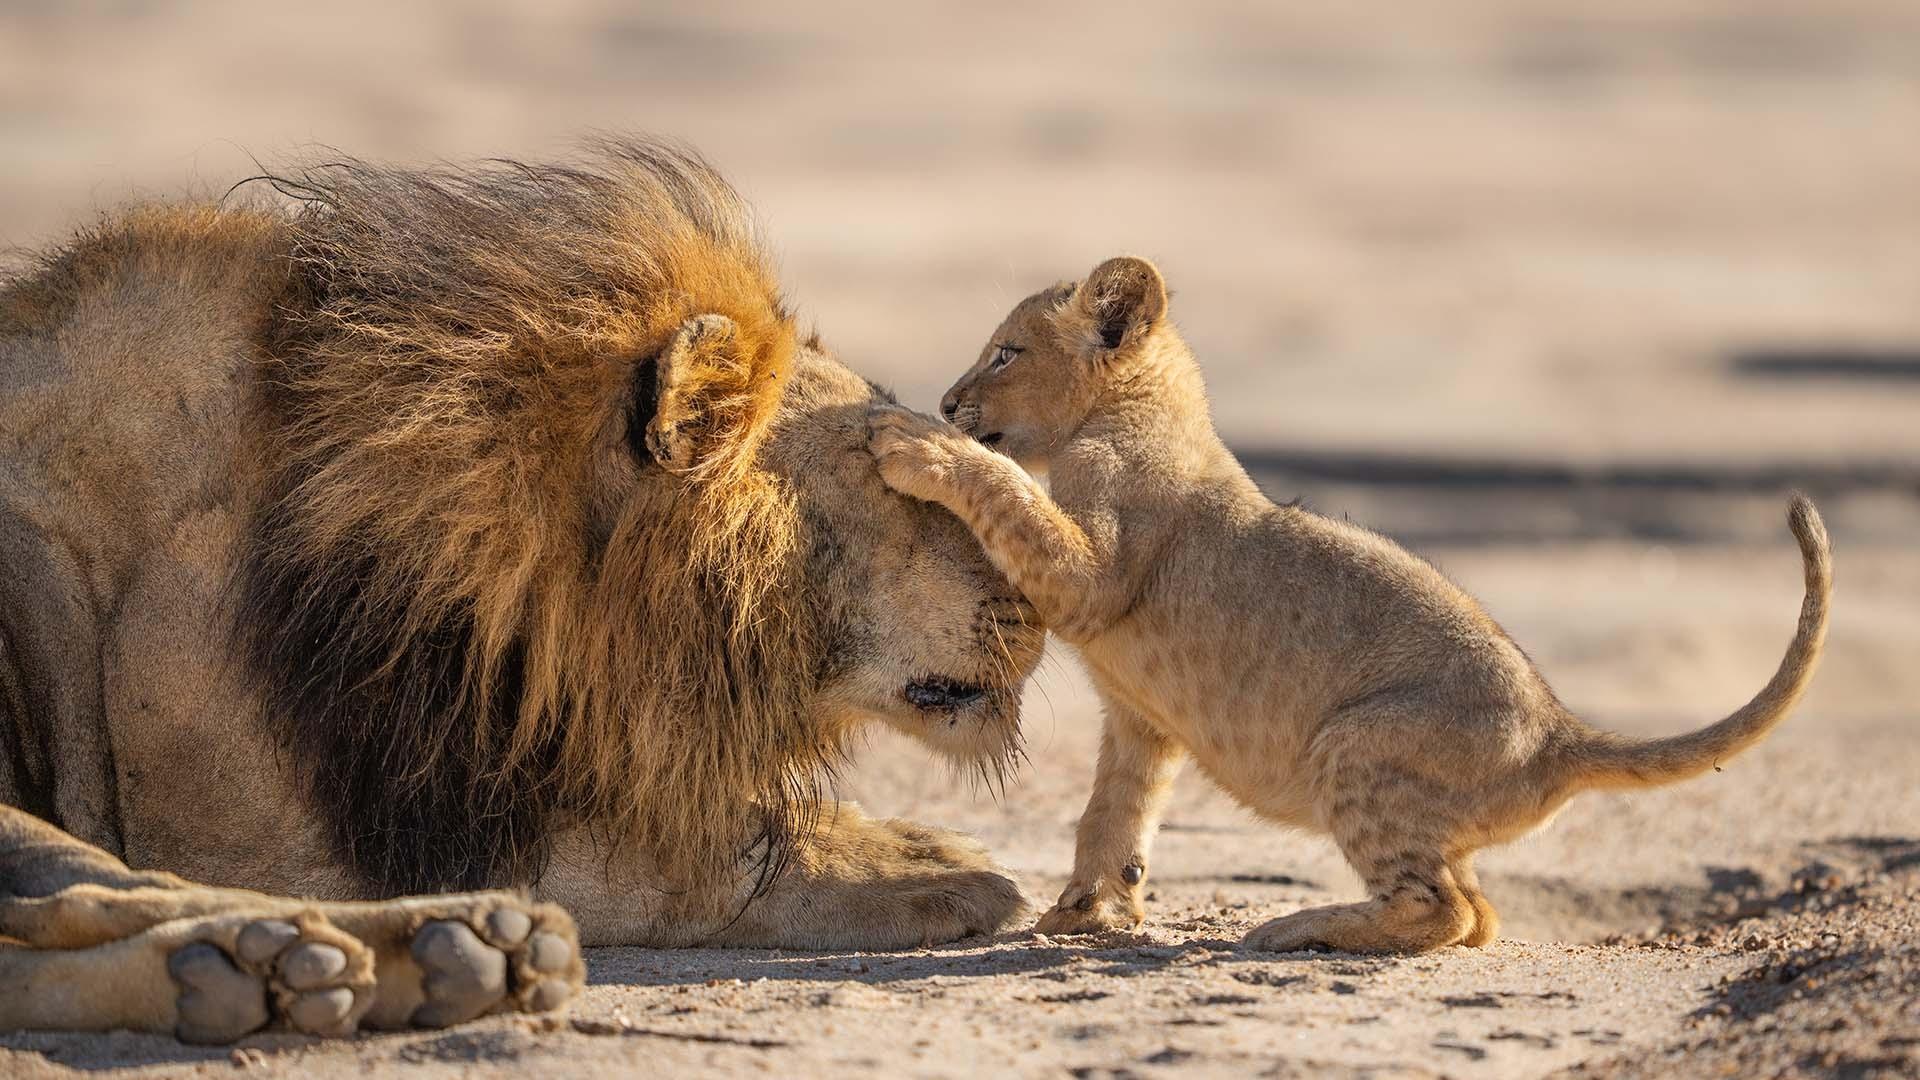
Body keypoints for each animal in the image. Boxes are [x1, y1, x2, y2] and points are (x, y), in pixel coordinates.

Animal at [866, 254, 1831, 954]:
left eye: (1005, 353)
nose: (948, 398)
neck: (1137, 412)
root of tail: (1562, 734)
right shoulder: (1144, 720)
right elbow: (1114, 808)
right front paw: (1086, 911)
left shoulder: (1094, 571)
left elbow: (1009, 492)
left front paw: (915, 442)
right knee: (1479, 916)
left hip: (1359, 745)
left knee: (1445, 911)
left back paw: (1297, 928)